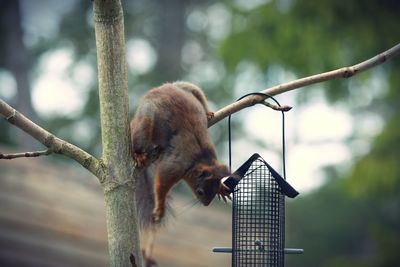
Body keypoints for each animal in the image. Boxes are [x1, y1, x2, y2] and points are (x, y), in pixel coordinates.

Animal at [131, 81, 231, 226]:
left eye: (216, 185)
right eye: (200, 192)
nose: (206, 204)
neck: (201, 159)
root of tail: (157, 90)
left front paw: (222, 188)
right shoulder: (175, 166)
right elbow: (161, 183)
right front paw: (160, 209)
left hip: (190, 88)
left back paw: (208, 113)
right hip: (145, 120)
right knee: (139, 136)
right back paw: (138, 155)